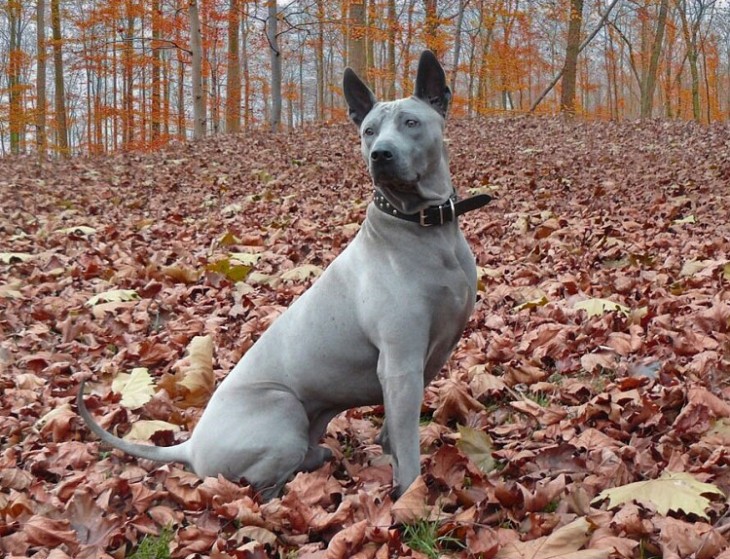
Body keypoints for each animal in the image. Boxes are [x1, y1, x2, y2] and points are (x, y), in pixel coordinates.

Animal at [78, 51, 490, 498]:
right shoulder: (400, 364)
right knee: (259, 486)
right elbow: (407, 445)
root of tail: (189, 445)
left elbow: (394, 433)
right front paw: (411, 495)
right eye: (368, 131)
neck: (425, 226)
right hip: (282, 407)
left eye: (411, 123)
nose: (380, 154)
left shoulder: (425, 359)